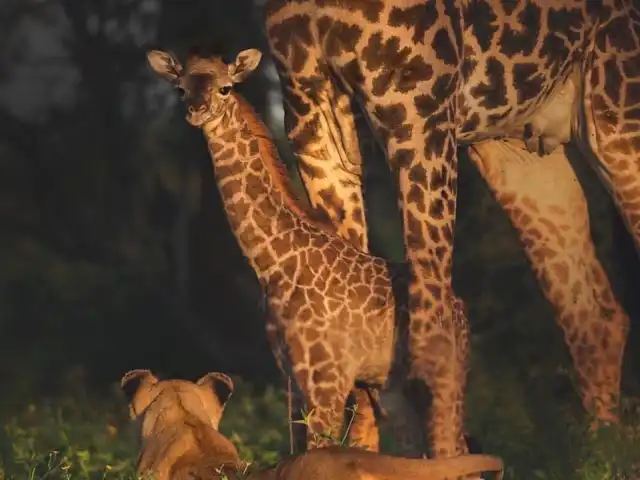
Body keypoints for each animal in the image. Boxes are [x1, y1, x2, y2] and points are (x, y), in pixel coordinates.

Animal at [145, 47, 464, 458]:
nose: (197, 110)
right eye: (180, 88)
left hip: (442, 384)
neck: (274, 262)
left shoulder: (328, 377)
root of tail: (461, 311)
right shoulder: (292, 376)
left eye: (226, 88)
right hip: (393, 392)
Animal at [262, 0, 636, 462]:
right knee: (594, 316)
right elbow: (351, 313)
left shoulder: (420, 113)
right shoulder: (311, 110)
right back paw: (604, 454)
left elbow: (432, 334)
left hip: (616, 112)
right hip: (520, 149)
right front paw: (356, 459)